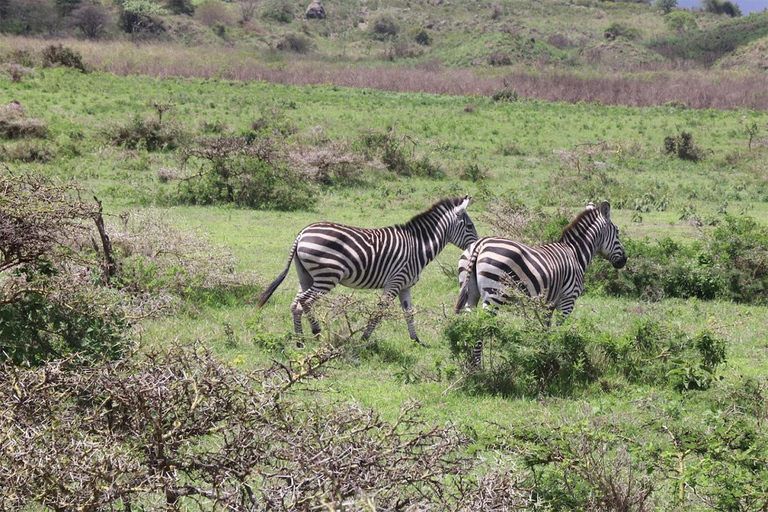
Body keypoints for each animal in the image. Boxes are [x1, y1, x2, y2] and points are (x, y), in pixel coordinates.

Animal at [258, 196, 476, 344]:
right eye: (469, 226)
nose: (476, 245)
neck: (418, 247)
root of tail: (302, 233)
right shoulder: (395, 281)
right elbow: (379, 312)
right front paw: (364, 338)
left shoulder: (405, 286)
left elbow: (408, 313)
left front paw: (416, 340)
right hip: (327, 275)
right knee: (306, 301)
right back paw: (316, 332)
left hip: (306, 276)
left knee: (296, 304)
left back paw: (299, 340)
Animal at [456, 202, 624, 366]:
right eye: (617, 233)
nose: (624, 261)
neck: (575, 254)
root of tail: (480, 244)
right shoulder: (567, 300)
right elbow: (560, 330)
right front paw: (562, 359)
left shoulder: (548, 304)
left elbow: (546, 330)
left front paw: (547, 358)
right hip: (494, 293)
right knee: (481, 326)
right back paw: (478, 368)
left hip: (471, 292)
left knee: (469, 324)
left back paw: (467, 363)